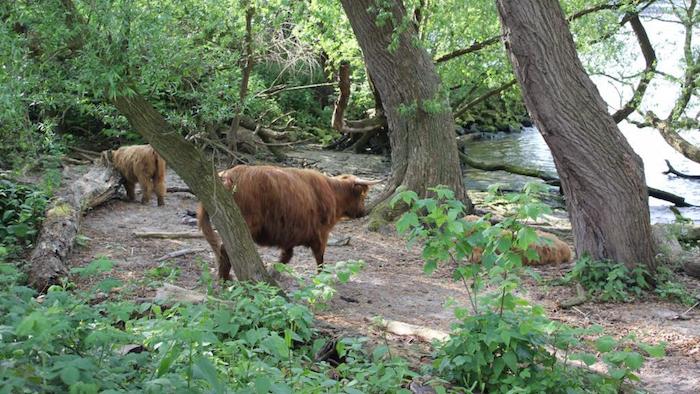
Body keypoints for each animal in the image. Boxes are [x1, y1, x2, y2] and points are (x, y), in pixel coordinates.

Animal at [197, 165, 380, 278]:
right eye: (362, 196)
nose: (364, 212)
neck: (333, 194)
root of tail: (228, 174)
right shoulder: (321, 233)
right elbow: (320, 258)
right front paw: (321, 279)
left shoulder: (290, 234)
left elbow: (287, 256)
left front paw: (274, 272)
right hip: (243, 223)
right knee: (227, 248)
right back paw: (224, 279)